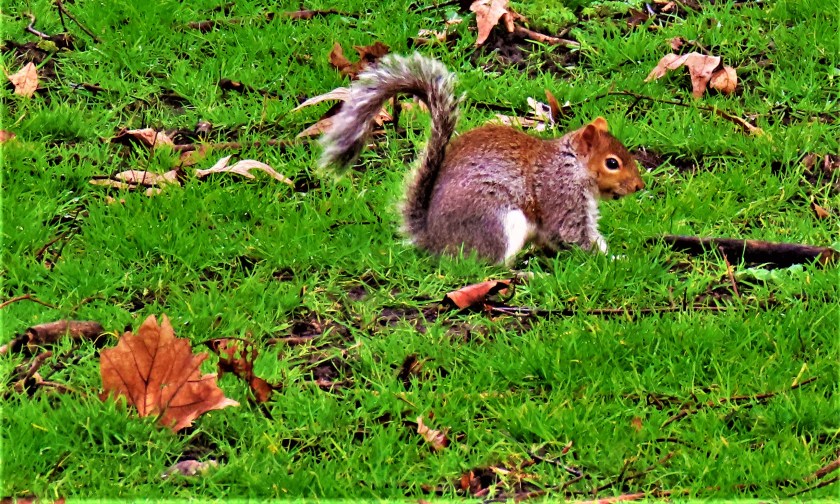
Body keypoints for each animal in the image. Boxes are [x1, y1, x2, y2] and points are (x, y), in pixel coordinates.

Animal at [319, 53, 645, 265]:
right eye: (612, 163)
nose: (639, 186)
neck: (572, 165)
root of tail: (435, 242)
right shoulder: (561, 196)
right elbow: (573, 234)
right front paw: (618, 259)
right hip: (498, 223)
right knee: (487, 267)